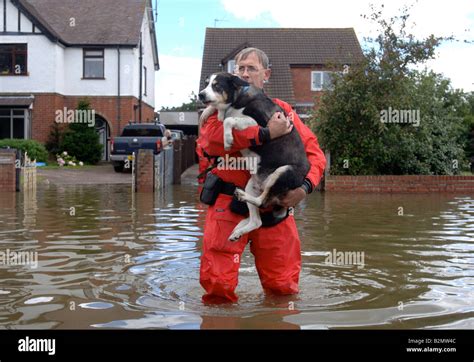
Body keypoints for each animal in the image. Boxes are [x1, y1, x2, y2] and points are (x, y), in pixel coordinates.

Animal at [198, 72, 310, 242]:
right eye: (207, 84)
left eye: (217, 85)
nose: (201, 94)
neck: (236, 100)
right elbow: (223, 116)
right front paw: (207, 112)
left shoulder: (258, 123)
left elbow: (229, 120)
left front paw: (228, 139)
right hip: (252, 184)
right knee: (257, 221)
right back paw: (238, 230)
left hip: (283, 172)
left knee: (262, 202)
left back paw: (242, 198)